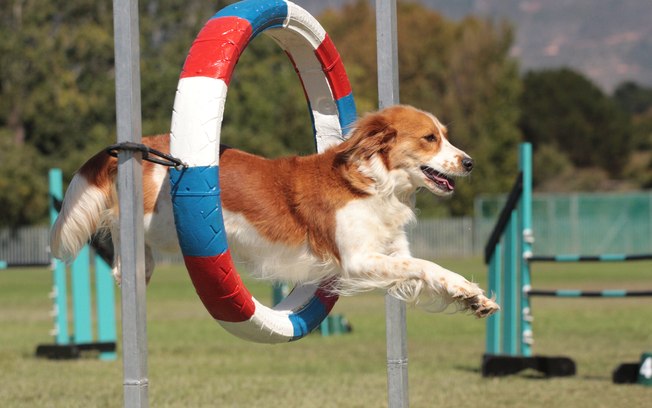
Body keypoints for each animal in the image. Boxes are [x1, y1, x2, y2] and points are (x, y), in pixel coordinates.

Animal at [51, 104, 500, 316]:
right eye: (429, 138)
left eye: (445, 135)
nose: (470, 162)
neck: (375, 183)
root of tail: (144, 144)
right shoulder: (357, 261)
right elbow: (423, 265)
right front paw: (467, 291)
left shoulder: (391, 252)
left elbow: (429, 270)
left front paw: (471, 296)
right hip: (156, 222)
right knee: (120, 238)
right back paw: (129, 265)